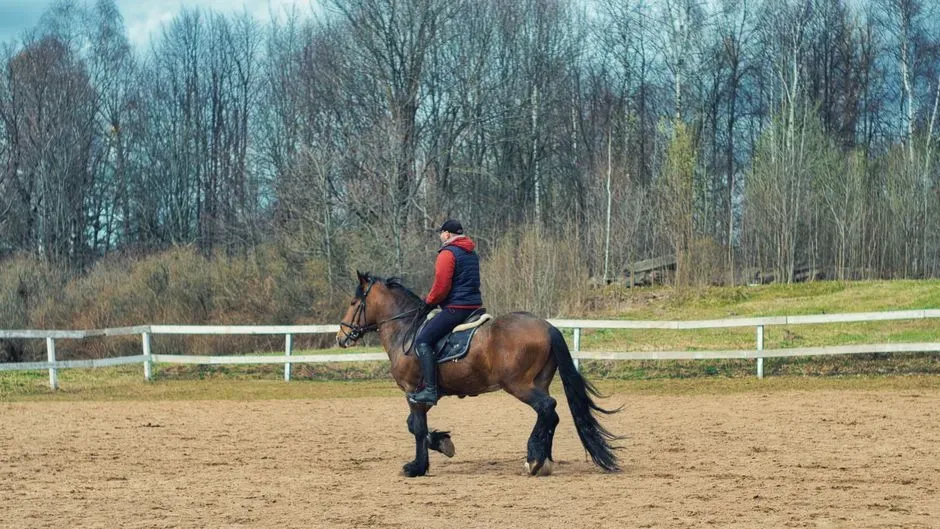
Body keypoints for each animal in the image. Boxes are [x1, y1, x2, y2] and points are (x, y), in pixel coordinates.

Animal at [336, 271, 621, 477]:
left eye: (353, 303)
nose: (341, 336)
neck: (406, 329)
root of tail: (547, 326)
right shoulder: (423, 396)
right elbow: (414, 425)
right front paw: (442, 443)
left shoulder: (412, 391)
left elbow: (416, 427)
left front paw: (416, 467)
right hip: (538, 382)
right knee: (551, 415)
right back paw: (542, 461)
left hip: (519, 385)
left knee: (547, 408)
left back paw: (534, 458)